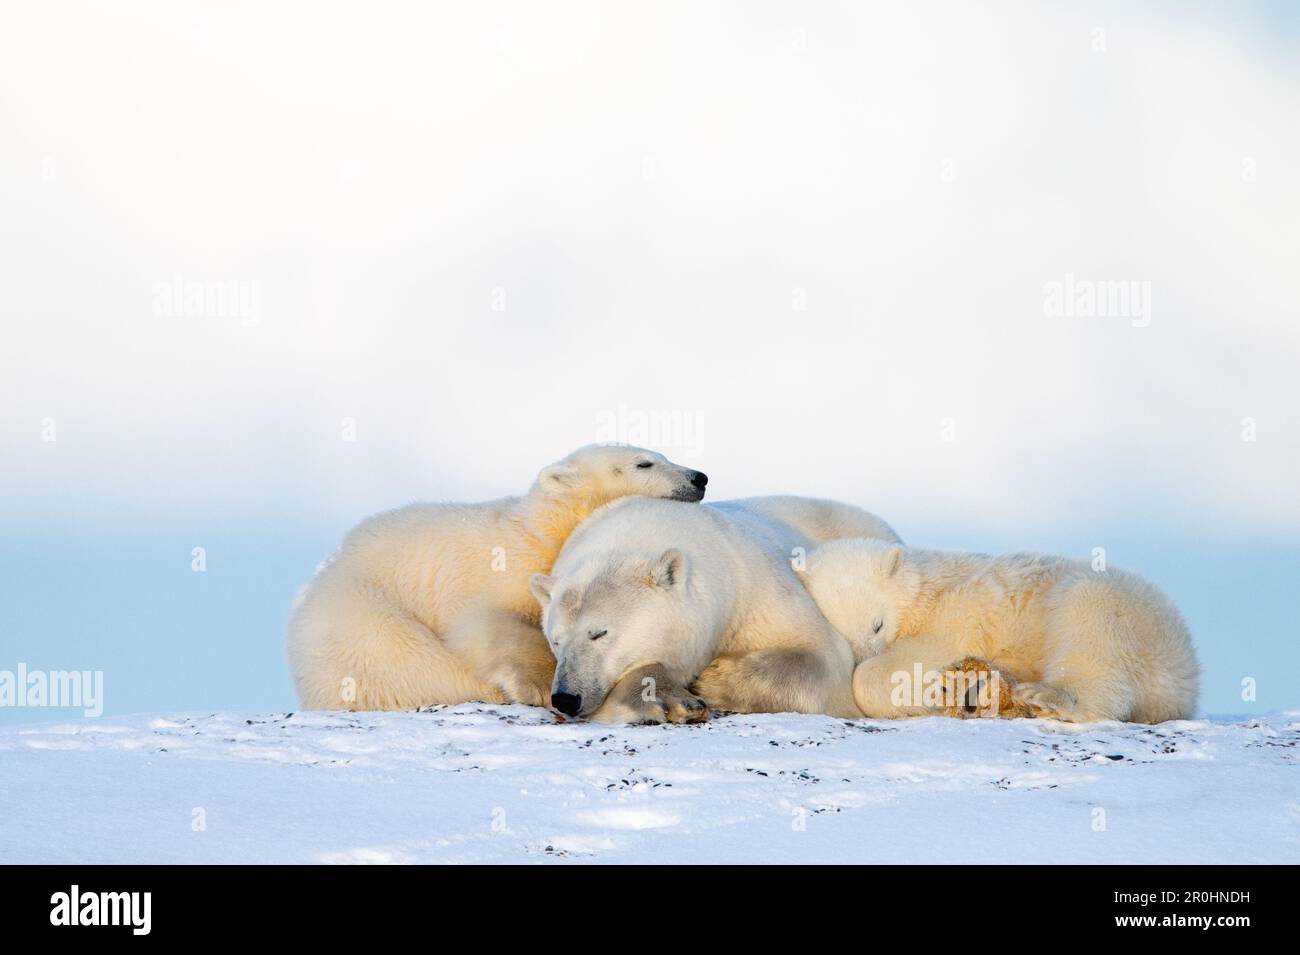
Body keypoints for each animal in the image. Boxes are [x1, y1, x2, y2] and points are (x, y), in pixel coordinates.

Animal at [288, 446, 707, 712]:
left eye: (661, 455)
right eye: (644, 463)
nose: (699, 477)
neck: (542, 534)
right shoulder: (490, 573)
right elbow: (485, 625)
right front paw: (537, 686)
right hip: (361, 620)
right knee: (410, 660)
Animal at [522, 496, 899, 722]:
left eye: (599, 633)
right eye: (555, 640)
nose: (566, 697)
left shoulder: (752, 585)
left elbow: (821, 655)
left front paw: (712, 681)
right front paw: (671, 699)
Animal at [795, 540, 1201, 722]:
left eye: (877, 624)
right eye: (840, 633)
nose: (863, 654)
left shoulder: (956, 617)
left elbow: (913, 662)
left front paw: (941, 691)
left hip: (1119, 609)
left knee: (1092, 631)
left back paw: (1044, 696)